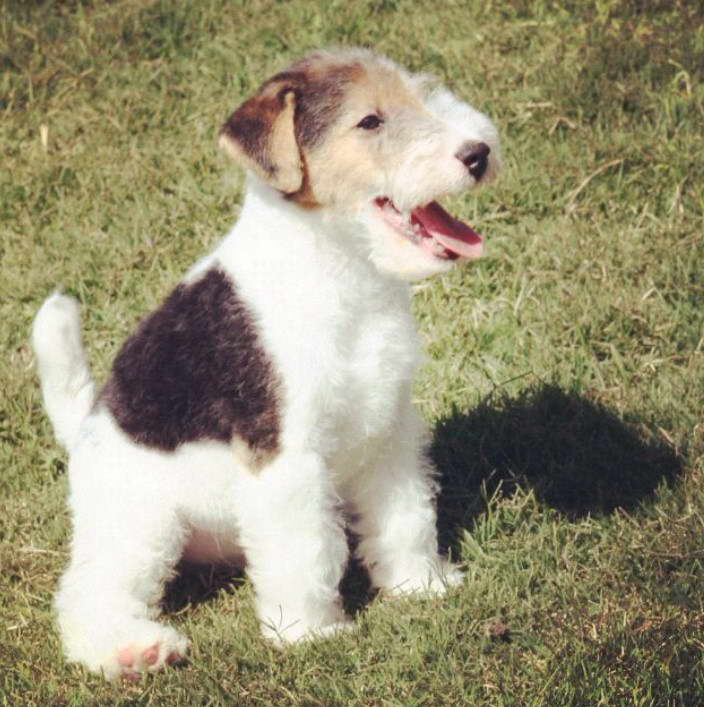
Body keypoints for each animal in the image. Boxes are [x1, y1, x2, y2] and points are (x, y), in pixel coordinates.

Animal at [33, 47, 498, 676]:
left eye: (423, 92)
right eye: (369, 120)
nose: (478, 153)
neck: (340, 273)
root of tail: (85, 423)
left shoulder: (389, 433)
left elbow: (405, 518)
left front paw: (422, 586)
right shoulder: (287, 457)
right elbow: (306, 550)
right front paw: (309, 633)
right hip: (138, 524)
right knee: (86, 596)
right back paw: (135, 649)